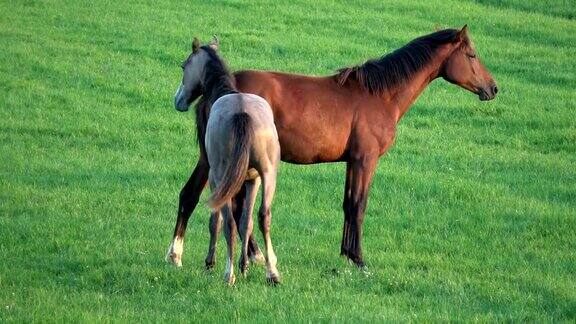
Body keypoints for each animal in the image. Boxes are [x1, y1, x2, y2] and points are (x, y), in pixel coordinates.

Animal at [165, 25, 496, 268]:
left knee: (196, 196)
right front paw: (359, 260)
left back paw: (181, 254)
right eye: (471, 55)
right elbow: (359, 205)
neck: (379, 95)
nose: (493, 88)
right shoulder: (366, 160)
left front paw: (346, 253)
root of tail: (218, 89)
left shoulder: (353, 161)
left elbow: (348, 204)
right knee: (212, 199)